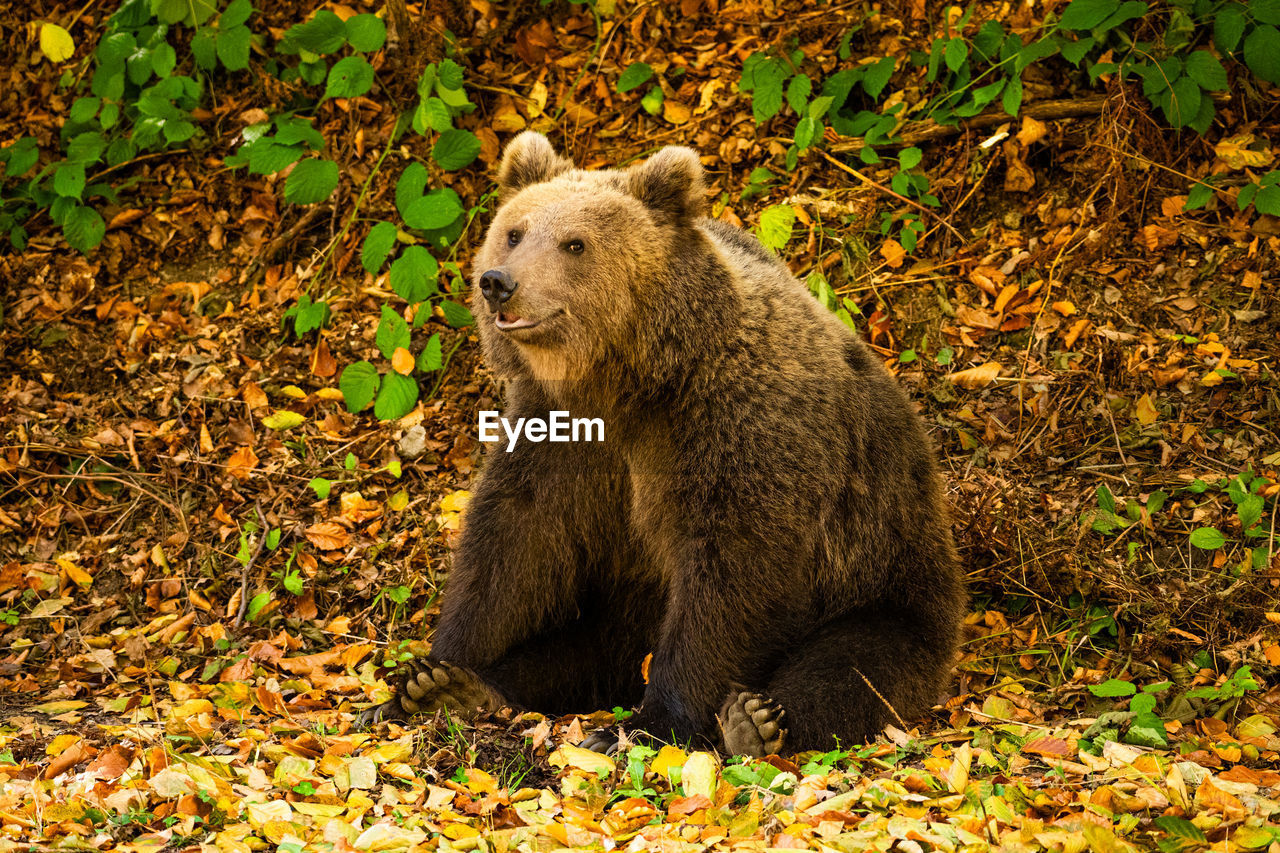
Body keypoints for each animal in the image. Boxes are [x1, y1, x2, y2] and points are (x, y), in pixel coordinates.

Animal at [366, 133, 962, 758]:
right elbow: (512, 540)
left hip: (884, 570)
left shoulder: (735, 429)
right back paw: (470, 690)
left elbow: (733, 573)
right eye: (514, 232)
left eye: (574, 243)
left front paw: (645, 724)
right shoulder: (561, 438)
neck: (628, 379)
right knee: (576, 651)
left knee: (853, 665)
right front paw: (430, 675)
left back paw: (757, 719)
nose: (499, 282)